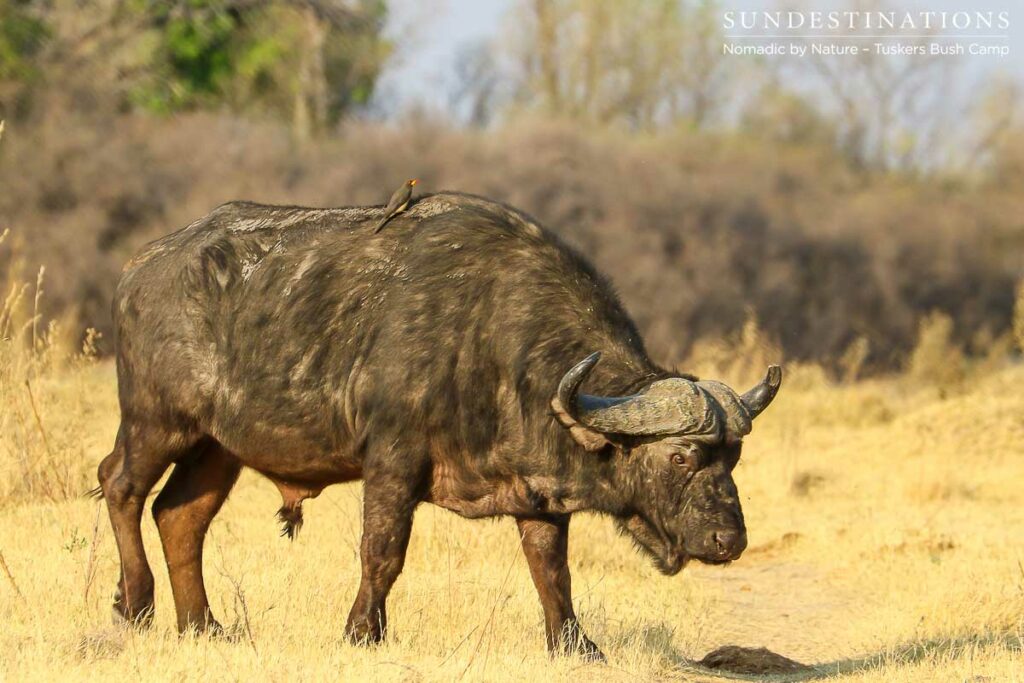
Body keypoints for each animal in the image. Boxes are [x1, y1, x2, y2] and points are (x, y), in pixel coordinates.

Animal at [96, 192, 782, 661]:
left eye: (732, 460)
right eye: (680, 457)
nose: (729, 540)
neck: (491, 340)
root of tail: (138, 269)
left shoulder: (537, 492)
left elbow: (551, 570)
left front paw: (575, 644)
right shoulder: (392, 463)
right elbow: (382, 553)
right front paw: (362, 632)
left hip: (217, 446)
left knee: (181, 516)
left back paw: (202, 625)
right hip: (156, 421)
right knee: (120, 485)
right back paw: (135, 602)